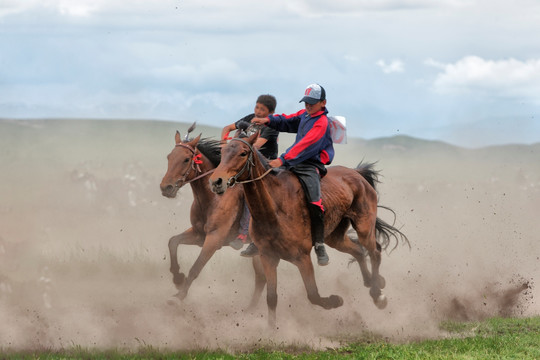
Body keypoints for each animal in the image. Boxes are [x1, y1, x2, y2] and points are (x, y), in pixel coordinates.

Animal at [159, 126, 266, 304]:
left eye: (186, 159)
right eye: (169, 157)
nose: (165, 187)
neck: (213, 199)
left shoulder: (214, 239)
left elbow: (196, 268)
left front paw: (179, 296)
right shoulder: (198, 234)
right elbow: (173, 242)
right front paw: (177, 278)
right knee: (261, 279)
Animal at [209, 132, 408, 326]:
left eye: (243, 153)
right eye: (223, 151)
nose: (216, 182)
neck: (274, 210)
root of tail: (357, 174)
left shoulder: (302, 258)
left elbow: (313, 295)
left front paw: (335, 301)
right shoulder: (268, 257)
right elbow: (271, 298)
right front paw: (272, 331)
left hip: (364, 227)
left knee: (375, 252)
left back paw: (378, 294)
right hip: (335, 237)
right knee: (358, 250)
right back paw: (373, 282)